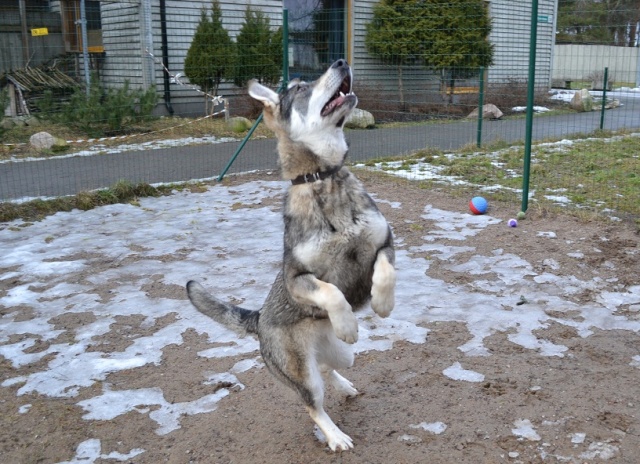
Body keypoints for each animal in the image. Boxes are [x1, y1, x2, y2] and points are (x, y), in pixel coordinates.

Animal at [186, 59, 396, 451]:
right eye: (300, 88)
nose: (341, 62)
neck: (323, 179)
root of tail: (258, 318)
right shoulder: (296, 279)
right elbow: (331, 292)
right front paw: (347, 322)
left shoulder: (385, 243)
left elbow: (385, 272)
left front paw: (382, 303)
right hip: (302, 372)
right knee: (313, 403)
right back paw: (335, 435)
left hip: (342, 355)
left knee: (331, 368)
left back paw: (345, 385)